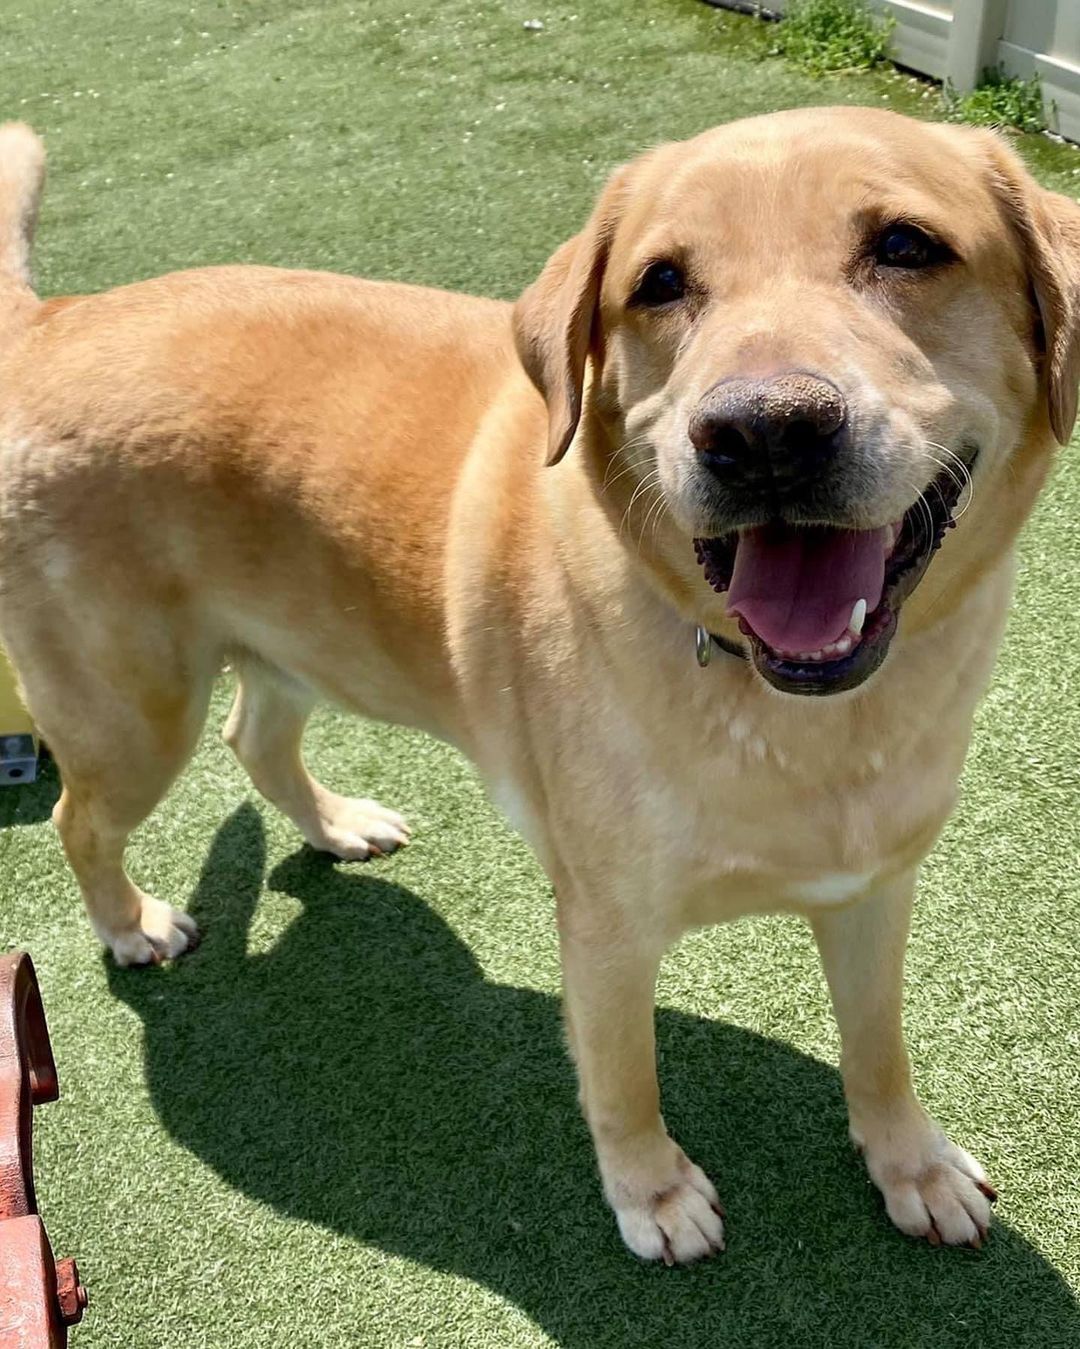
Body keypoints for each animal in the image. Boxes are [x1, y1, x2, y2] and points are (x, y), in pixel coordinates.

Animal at [2, 107, 1078, 1262]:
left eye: (909, 246)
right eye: (659, 282)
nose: (764, 431)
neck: (790, 705)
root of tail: (51, 322)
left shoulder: (875, 886)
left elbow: (879, 1043)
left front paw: (910, 1162)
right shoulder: (605, 927)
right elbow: (623, 1076)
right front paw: (652, 1191)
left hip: (300, 639)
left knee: (256, 736)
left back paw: (336, 824)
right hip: (136, 713)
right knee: (79, 817)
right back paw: (129, 924)